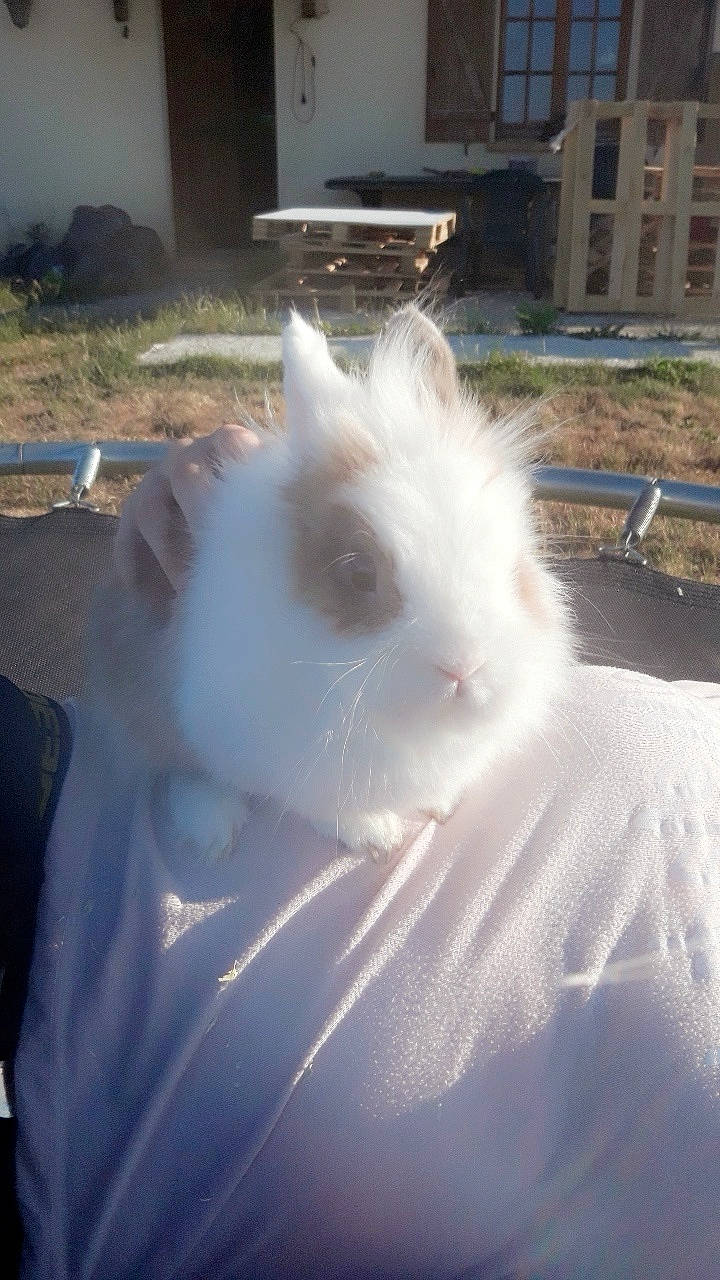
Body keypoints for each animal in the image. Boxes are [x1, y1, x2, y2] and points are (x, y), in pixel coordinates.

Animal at [151, 305, 574, 861]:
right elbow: (319, 802)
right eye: (358, 574)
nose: (463, 665)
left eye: (514, 564)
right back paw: (213, 831)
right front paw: (376, 835)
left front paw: (437, 803)